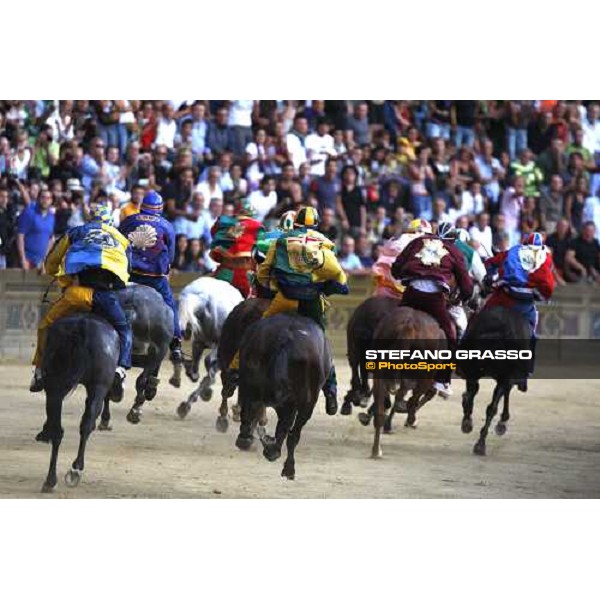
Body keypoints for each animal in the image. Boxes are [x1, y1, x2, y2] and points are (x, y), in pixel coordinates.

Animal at [36, 314, 119, 492]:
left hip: (55, 386)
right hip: (96, 386)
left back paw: (51, 479)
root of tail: (82, 326)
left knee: (58, 429)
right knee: (85, 424)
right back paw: (75, 469)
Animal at [170, 276, 243, 418]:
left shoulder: (199, 343)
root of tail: (204, 296)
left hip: (199, 342)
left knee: (195, 366)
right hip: (216, 346)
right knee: (207, 362)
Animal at [233, 312, 330, 480]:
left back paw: (249, 439)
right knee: (290, 431)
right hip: (304, 402)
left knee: (250, 410)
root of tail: (285, 338)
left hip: (250, 384)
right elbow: (291, 432)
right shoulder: (303, 404)